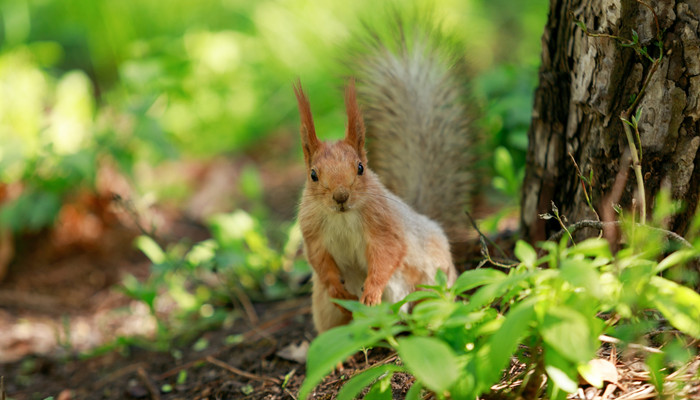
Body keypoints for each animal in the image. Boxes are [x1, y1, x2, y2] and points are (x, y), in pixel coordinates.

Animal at [292, 22, 474, 334]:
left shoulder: (383, 224)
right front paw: (336, 287)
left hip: (430, 282)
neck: (342, 217)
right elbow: (319, 261)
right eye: (313, 175)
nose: (341, 196)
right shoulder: (312, 230)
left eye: (360, 168)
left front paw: (371, 291)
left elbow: (387, 253)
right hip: (326, 310)